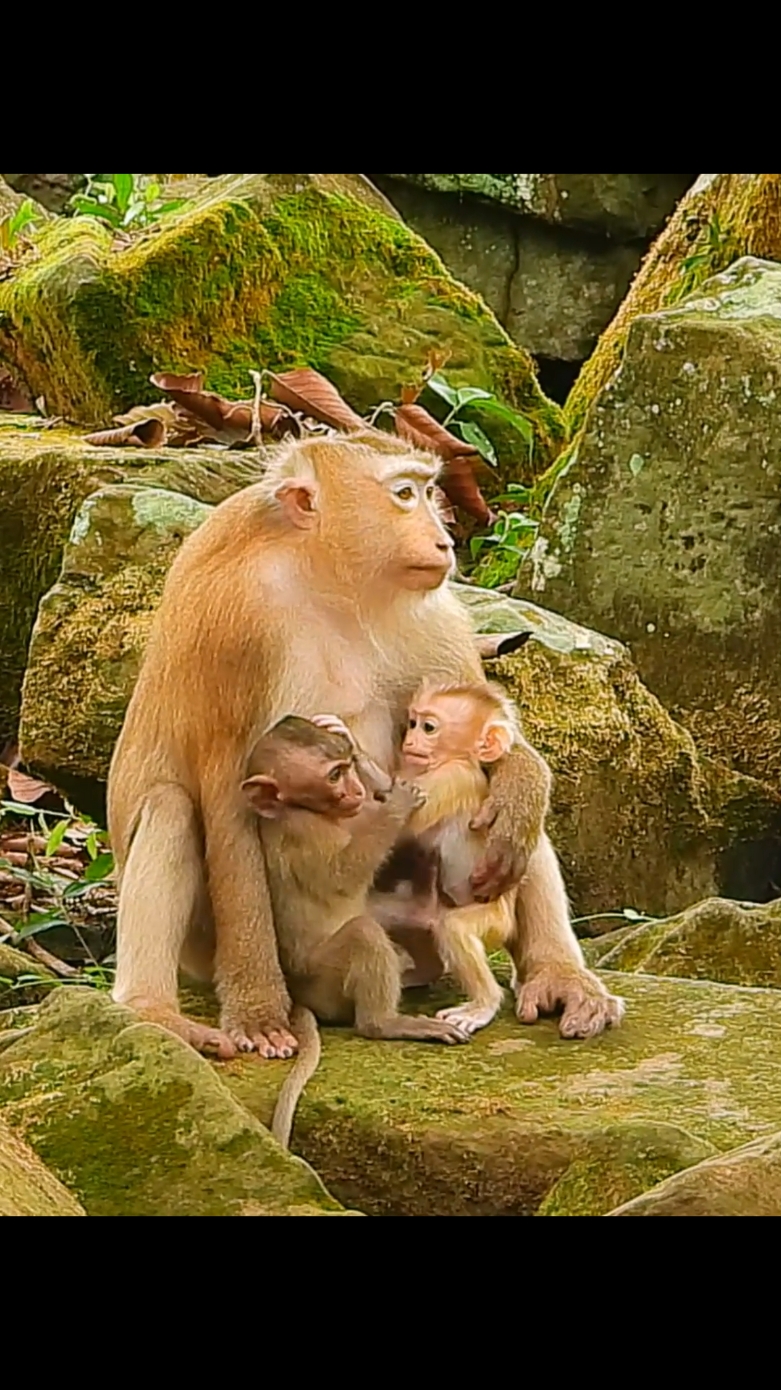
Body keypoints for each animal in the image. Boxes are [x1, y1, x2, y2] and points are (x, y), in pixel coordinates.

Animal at [107, 436, 614, 1061]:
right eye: (404, 494)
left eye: (428, 490)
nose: (444, 541)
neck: (329, 580)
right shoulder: (231, 629)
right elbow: (227, 801)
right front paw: (258, 1010)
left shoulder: (436, 613)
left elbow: (489, 739)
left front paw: (520, 788)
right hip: (237, 952)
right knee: (172, 807)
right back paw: (154, 1009)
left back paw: (557, 974)